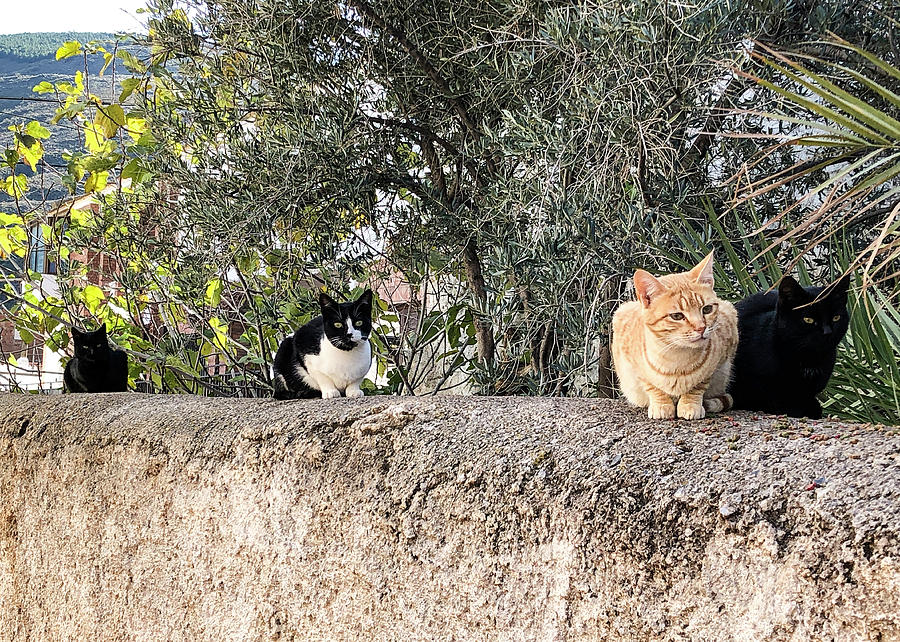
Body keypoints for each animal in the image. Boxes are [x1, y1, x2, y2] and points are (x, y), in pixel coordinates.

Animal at [612, 252, 740, 418]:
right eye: (677, 316)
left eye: (707, 309)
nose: (701, 328)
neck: (677, 356)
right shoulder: (634, 366)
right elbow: (652, 386)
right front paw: (662, 405)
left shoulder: (716, 363)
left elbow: (697, 386)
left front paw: (690, 404)